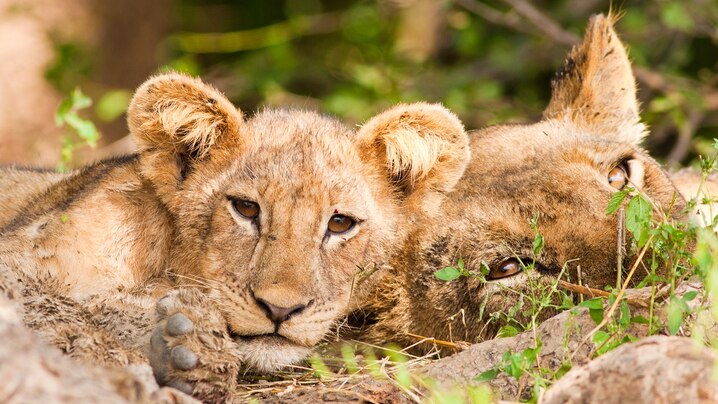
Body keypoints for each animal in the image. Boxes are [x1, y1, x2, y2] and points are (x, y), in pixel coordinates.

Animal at [0, 73, 470, 398]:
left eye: (340, 224)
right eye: (246, 208)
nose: (280, 309)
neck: (161, 261)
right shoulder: (20, 256)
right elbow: (57, 302)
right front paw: (177, 339)